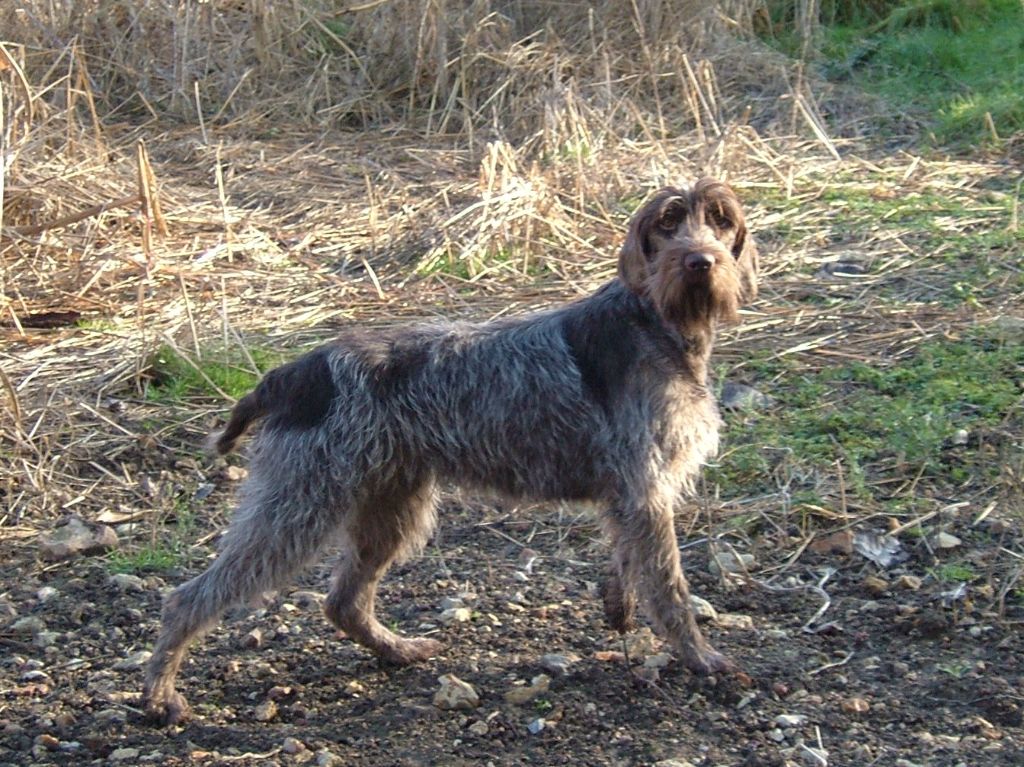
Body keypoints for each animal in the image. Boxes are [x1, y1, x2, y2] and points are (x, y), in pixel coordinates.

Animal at [148, 178, 765, 725]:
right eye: (667, 223)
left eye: (720, 220)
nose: (700, 262)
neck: (657, 322)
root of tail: (297, 372)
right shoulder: (645, 490)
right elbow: (671, 588)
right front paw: (701, 657)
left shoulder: (632, 496)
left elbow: (629, 564)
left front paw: (620, 607)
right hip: (300, 506)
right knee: (190, 598)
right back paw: (161, 695)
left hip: (389, 505)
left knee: (344, 602)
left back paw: (397, 650)